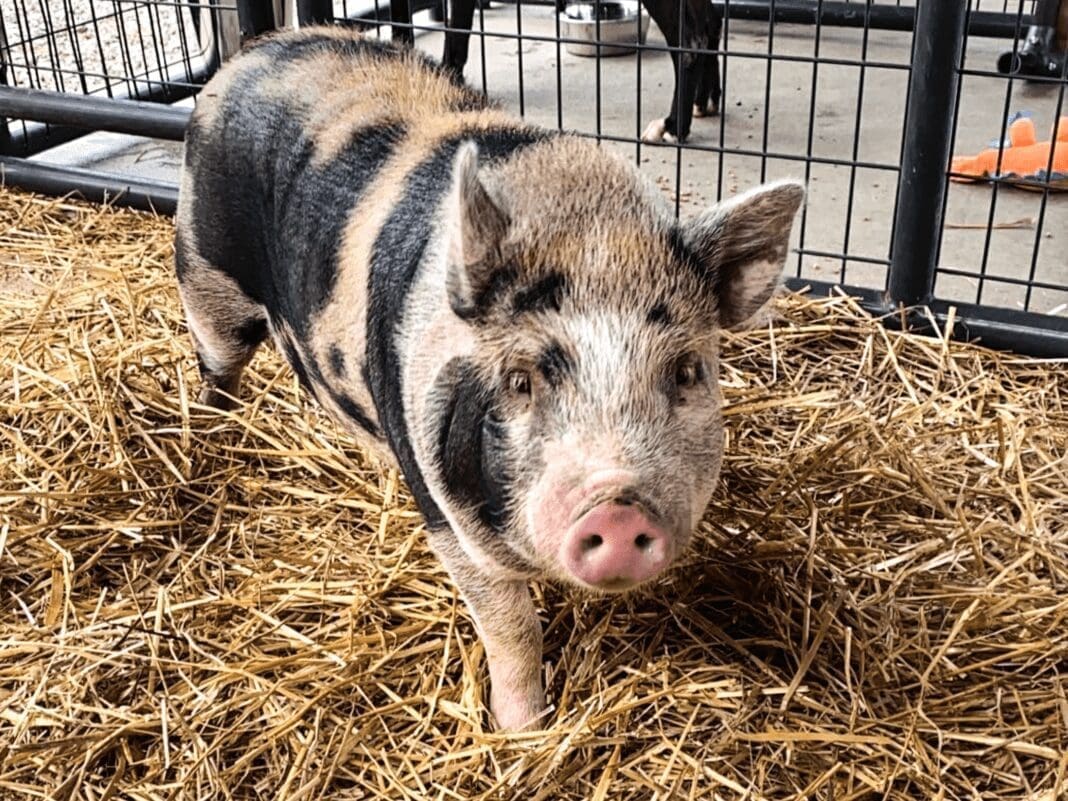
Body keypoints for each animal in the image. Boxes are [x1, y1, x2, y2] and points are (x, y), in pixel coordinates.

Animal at [175, 26, 803, 734]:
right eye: (520, 380)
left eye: (687, 370)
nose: (616, 505)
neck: (589, 229)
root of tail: (258, 49)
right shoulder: (449, 520)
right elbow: (512, 626)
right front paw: (523, 730)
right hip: (205, 278)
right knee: (217, 366)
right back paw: (209, 436)